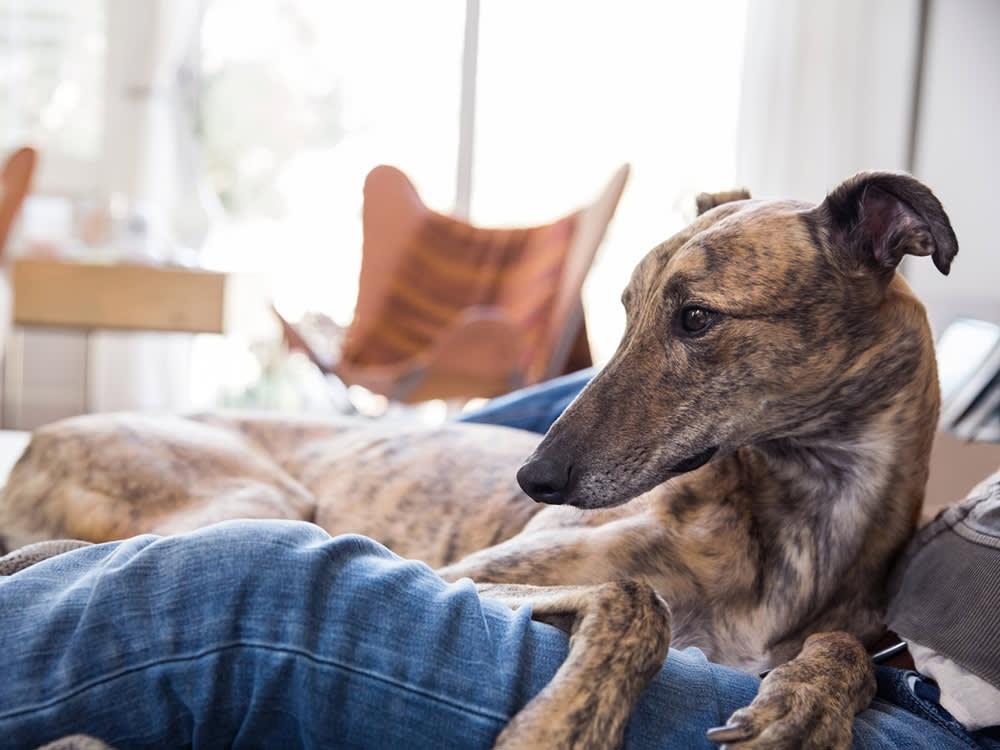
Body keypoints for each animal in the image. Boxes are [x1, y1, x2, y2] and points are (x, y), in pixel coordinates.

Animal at [0, 173, 952, 748]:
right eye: (627, 309)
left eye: (696, 319)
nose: (535, 480)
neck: (798, 519)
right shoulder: (458, 576)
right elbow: (635, 599)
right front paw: (561, 726)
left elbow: (852, 651)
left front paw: (807, 701)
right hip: (252, 502)